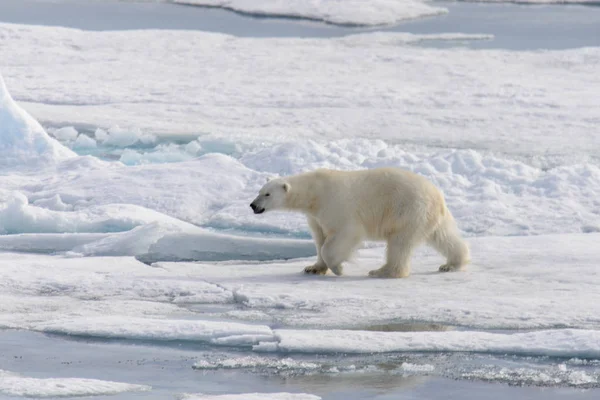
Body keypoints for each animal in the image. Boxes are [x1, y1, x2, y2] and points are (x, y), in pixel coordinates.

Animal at [251, 166, 472, 278]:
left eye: (267, 194)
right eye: (259, 191)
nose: (253, 205)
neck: (314, 193)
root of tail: (437, 196)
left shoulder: (336, 206)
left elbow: (342, 236)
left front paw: (338, 268)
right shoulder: (315, 216)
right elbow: (319, 238)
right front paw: (313, 268)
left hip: (407, 210)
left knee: (399, 244)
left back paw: (384, 271)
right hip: (428, 217)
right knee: (444, 237)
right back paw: (452, 264)